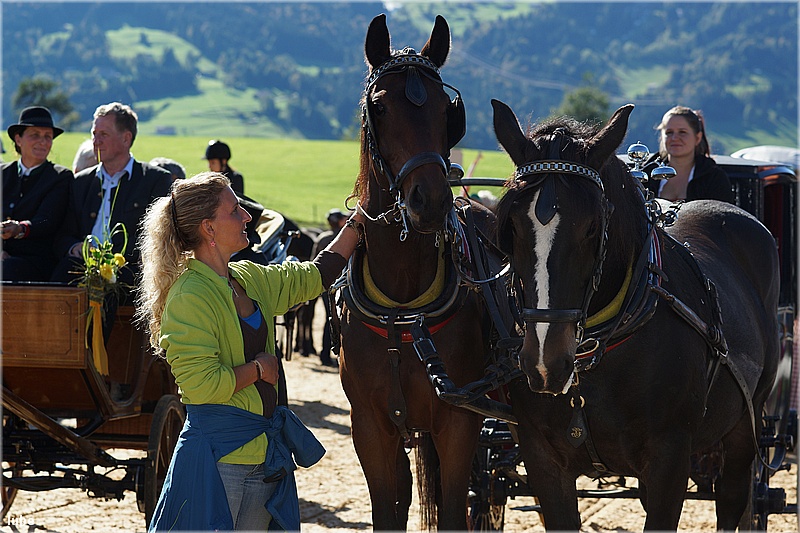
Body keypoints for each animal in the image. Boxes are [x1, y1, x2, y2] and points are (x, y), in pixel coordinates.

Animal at [336, 14, 492, 530]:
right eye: (380, 108)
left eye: (448, 111)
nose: (432, 199)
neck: (403, 309)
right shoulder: (369, 427)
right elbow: (387, 509)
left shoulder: (460, 421)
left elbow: (452, 511)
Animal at [491, 99, 780, 530]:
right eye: (510, 224)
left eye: (592, 228)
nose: (544, 363)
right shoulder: (542, 458)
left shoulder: (669, 460)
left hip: (747, 423)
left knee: (733, 497)